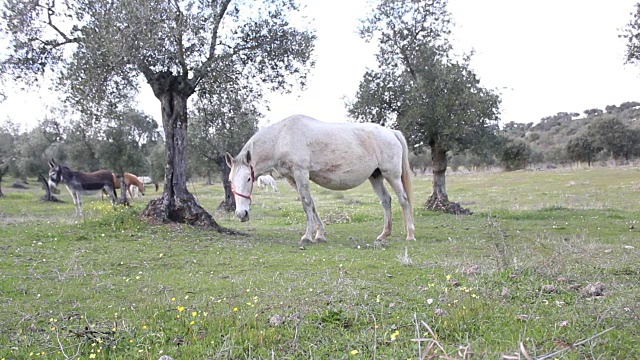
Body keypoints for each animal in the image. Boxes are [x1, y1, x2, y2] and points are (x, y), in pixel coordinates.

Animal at [225, 115, 416, 245]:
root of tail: (391, 132)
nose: (241, 214)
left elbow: (306, 203)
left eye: (248, 179)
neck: (281, 137)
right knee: (386, 200)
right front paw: (319, 234)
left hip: (392, 175)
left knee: (403, 200)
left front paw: (307, 236)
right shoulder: (292, 178)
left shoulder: (301, 173)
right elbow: (312, 204)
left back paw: (410, 234)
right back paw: (384, 234)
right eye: (230, 181)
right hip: (375, 177)